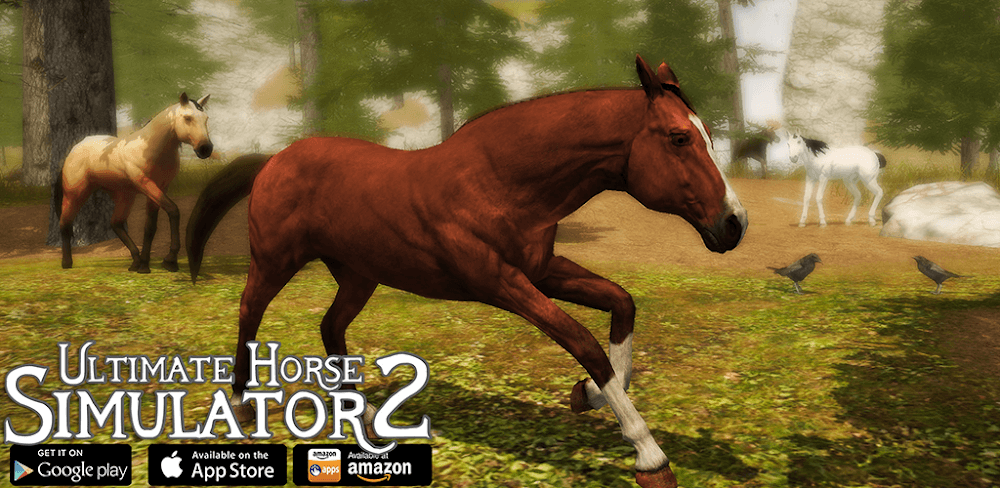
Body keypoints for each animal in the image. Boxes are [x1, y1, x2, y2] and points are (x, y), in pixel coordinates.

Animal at [57, 92, 213, 272]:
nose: (205, 149)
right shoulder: (145, 184)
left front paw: (145, 265)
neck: (150, 148)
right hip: (75, 194)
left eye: (206, 118)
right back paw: (66, 263)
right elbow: (174, 210)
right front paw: (170, 259)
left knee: (116, 223)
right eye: (187, 118)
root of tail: (76, 147)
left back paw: (136, 261)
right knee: (65, 223)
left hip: (125, 195)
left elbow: (150, 227)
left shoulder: (160, 188)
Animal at [186, 55, 747, 488]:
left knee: (330, 326)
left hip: (360, 275)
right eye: (679, 138)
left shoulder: (541, 270)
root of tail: (275, 160)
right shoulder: (501, 282)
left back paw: (366, 420)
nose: (734, 224)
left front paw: (585, 396)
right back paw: (240, 407)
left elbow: (621, 303)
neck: (500, 179)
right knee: (249, 311)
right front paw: (650, 456)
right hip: (276, 261)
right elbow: (582, 340)